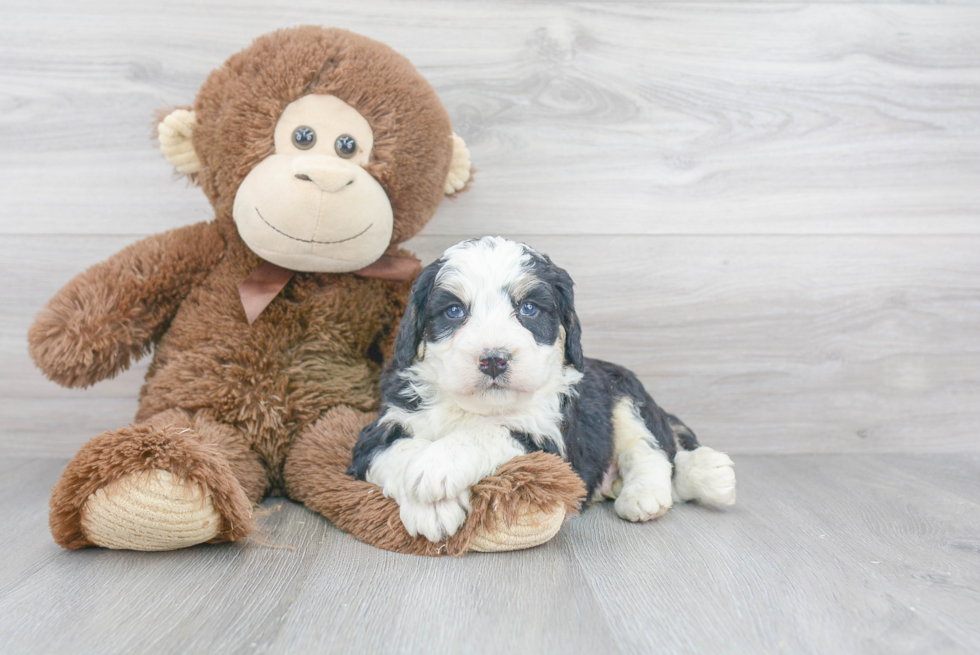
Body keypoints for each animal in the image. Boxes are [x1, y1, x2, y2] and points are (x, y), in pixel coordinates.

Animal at [346, 237, 736, 544]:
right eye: (454, 311)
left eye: (529, 308)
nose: (494, 359)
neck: (473, 408)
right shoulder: (377, 431)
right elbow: (398, 451)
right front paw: (431, 507)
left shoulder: (549, 442)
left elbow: (488, 432)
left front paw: (436, 467)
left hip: (625, 396)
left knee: (651, 451)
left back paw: (653, 493)